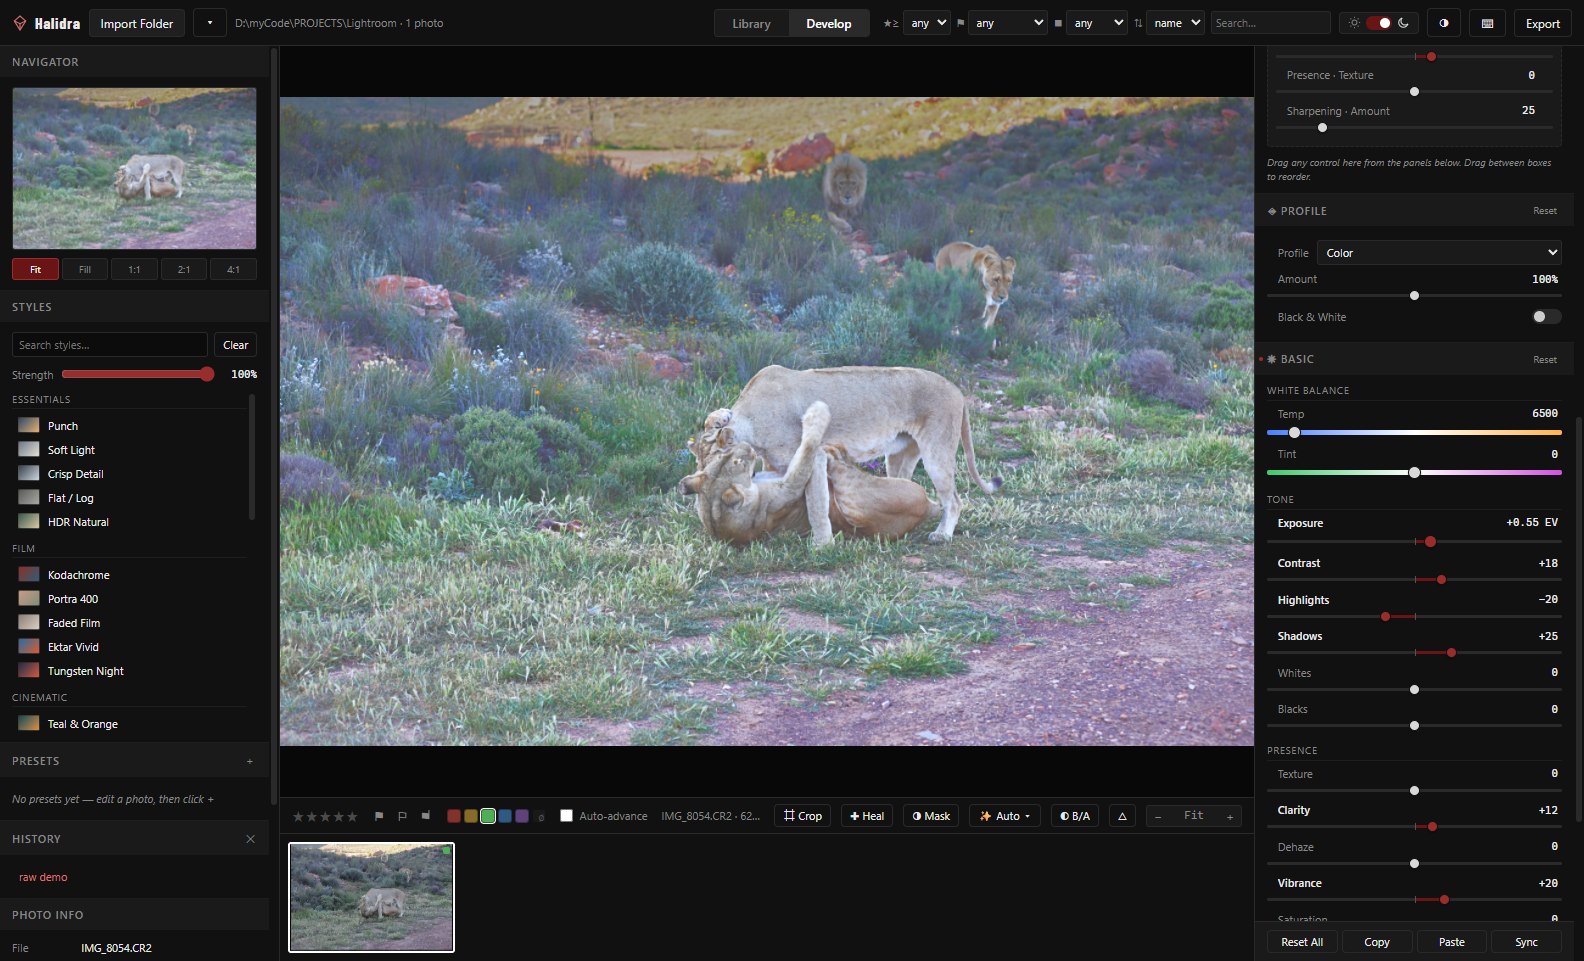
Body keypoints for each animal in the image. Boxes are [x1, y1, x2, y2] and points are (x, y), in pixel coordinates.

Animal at [689, 366, 999, 542]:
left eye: (726, 465)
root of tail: (956, 389)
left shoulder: (813, 458)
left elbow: (816, 503)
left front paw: (822, 544)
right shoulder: (777, 467)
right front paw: (718, 418)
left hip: (937, 451)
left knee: (954, 500)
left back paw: (942, 535)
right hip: (900, 455)